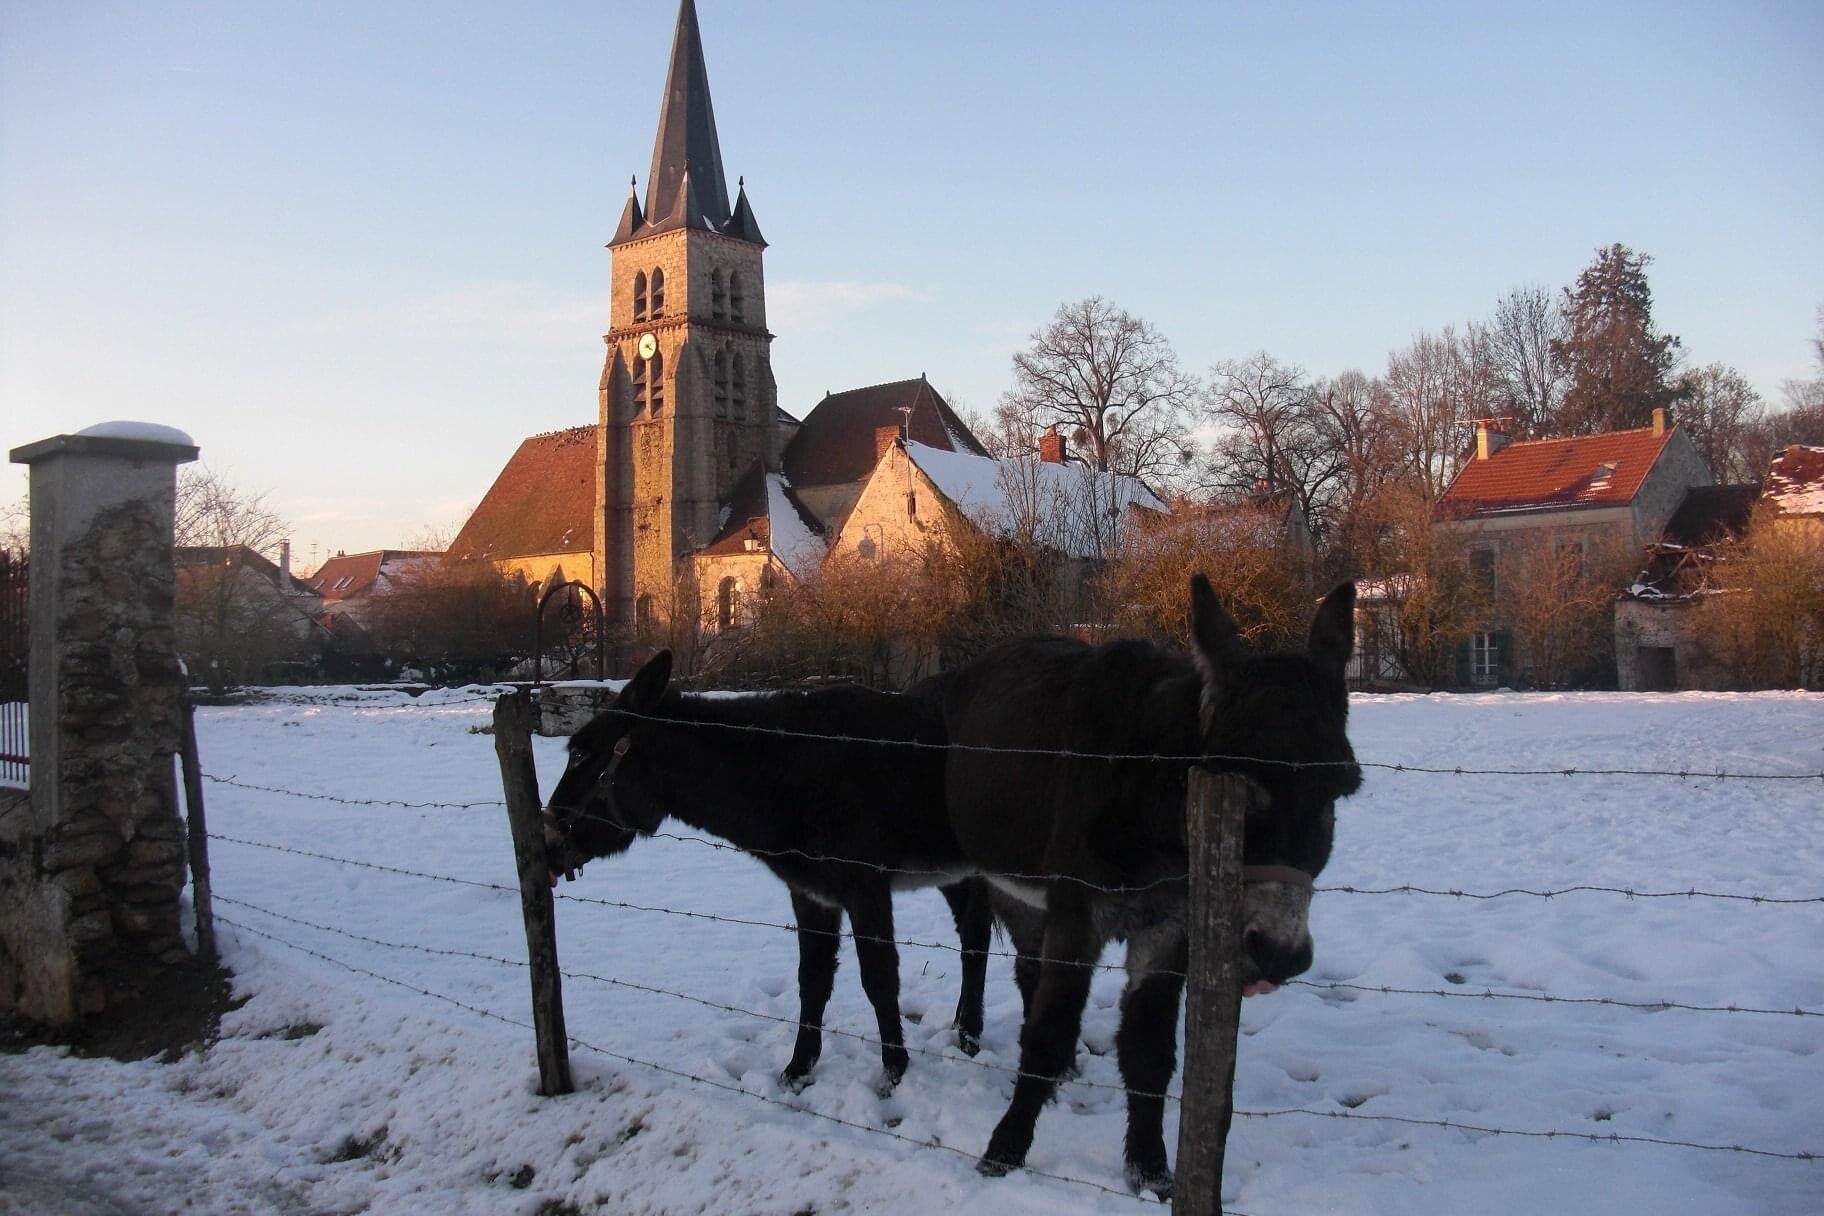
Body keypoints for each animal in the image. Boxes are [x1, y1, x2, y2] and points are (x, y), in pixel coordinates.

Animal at [542, 651, 992, 1094]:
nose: (546, 847)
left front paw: (894, 1072)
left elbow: (879, 977)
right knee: (973, 934)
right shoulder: (810, 893)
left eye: (580, 755)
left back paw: (970, 1034)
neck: (793, 772)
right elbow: (812, 978)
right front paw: (798, 1070)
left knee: (976, 936)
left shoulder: (866, 887)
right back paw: (965, 1028)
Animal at [938, 575, 1362, 1197]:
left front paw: (1151, 1170)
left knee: (1027, 967)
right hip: (979, 869)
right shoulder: (1079, 914)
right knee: (975, 945)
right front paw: (1003, 1153)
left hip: (1029, 894)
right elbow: (1048, 1034)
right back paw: (969, 1033)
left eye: (1335, 798)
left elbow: (1149, 1052)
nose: (1279, 956)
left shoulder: (1170, 926)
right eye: (1245, 794)